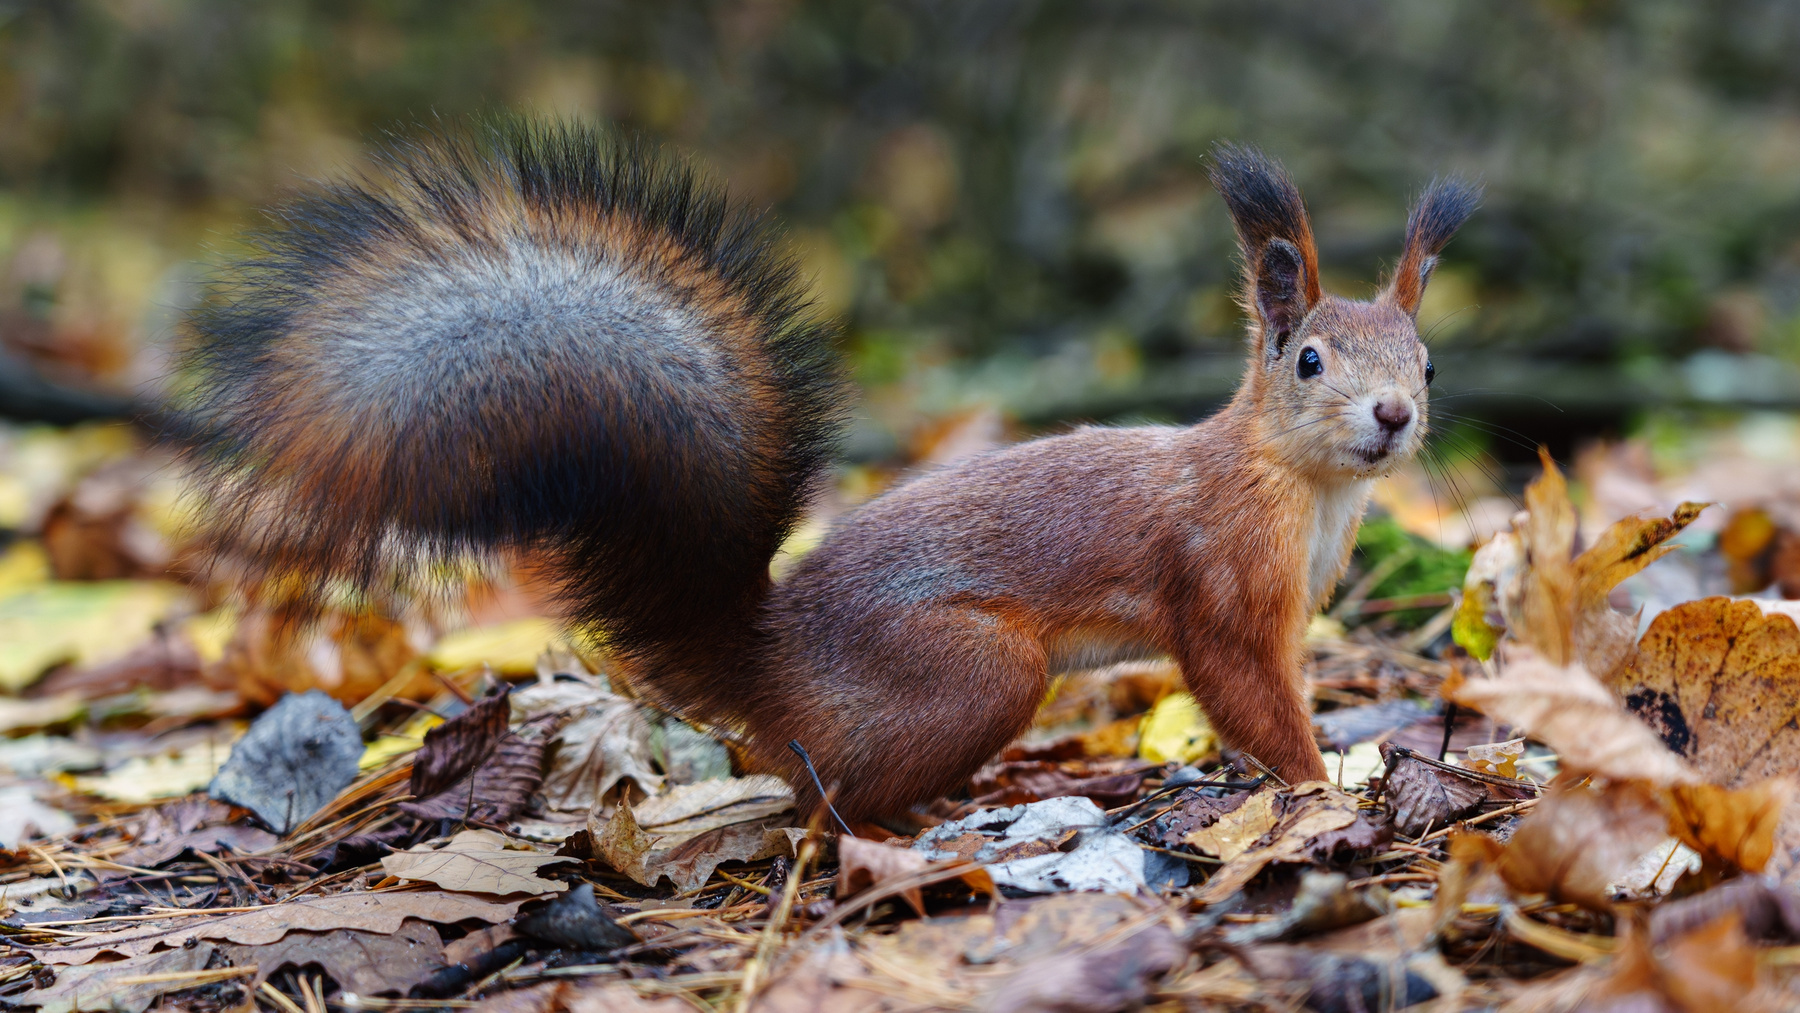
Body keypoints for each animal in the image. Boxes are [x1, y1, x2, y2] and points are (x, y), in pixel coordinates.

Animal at [170, 121, 1479, 825]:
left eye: (1426, 356)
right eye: (1307, 359)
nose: (1394, 414)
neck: (1303, 487)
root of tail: (769, 658)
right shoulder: (1217, 574)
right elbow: (1243, 688)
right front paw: (1323, 776)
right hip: (976, 669)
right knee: (820, 798)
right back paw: (943, 806)